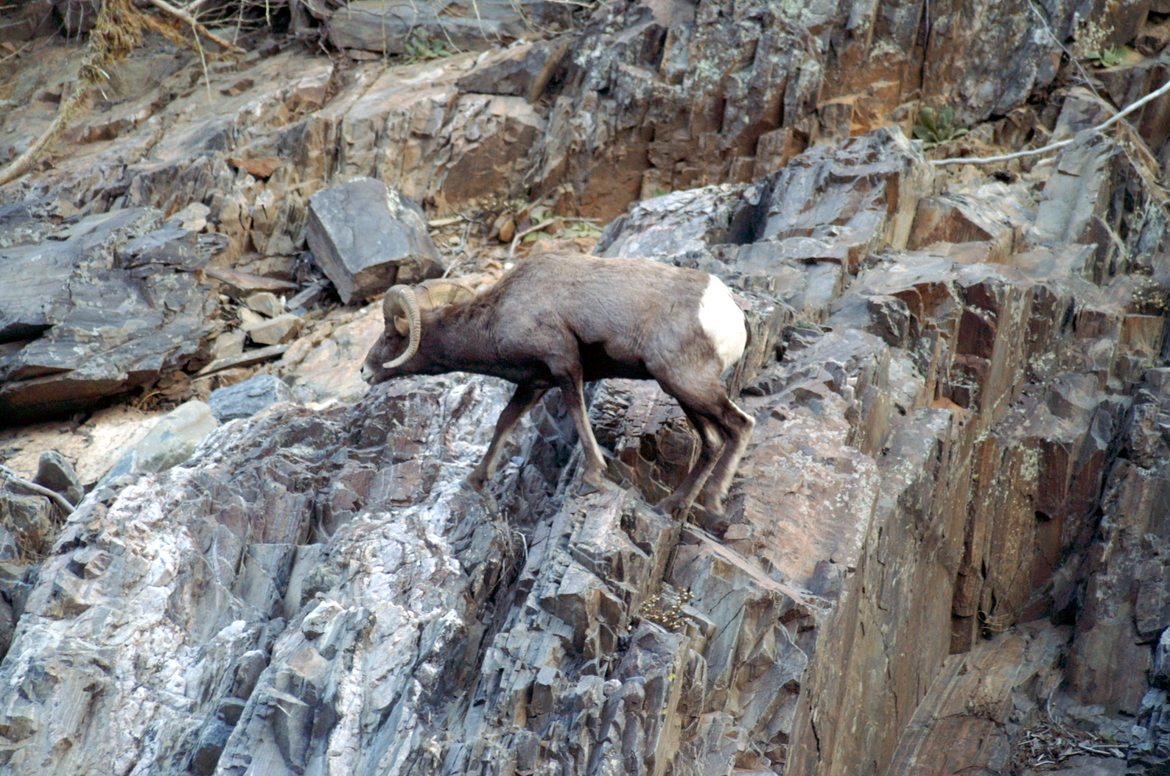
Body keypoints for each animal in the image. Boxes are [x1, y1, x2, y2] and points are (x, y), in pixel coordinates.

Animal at [361, 251, 755, 516]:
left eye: (391, 336)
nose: (365, 372)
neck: (500, 314)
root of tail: (730, 313)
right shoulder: (535, 384)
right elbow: (505, 421)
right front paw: (475, 479)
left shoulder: (564, 365)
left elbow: (578, 414)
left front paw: (594, 474)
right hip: (680, 391)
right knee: (712, 442)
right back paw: (672, 506)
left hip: (686, 383)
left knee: (740, 425)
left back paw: (713, 503)